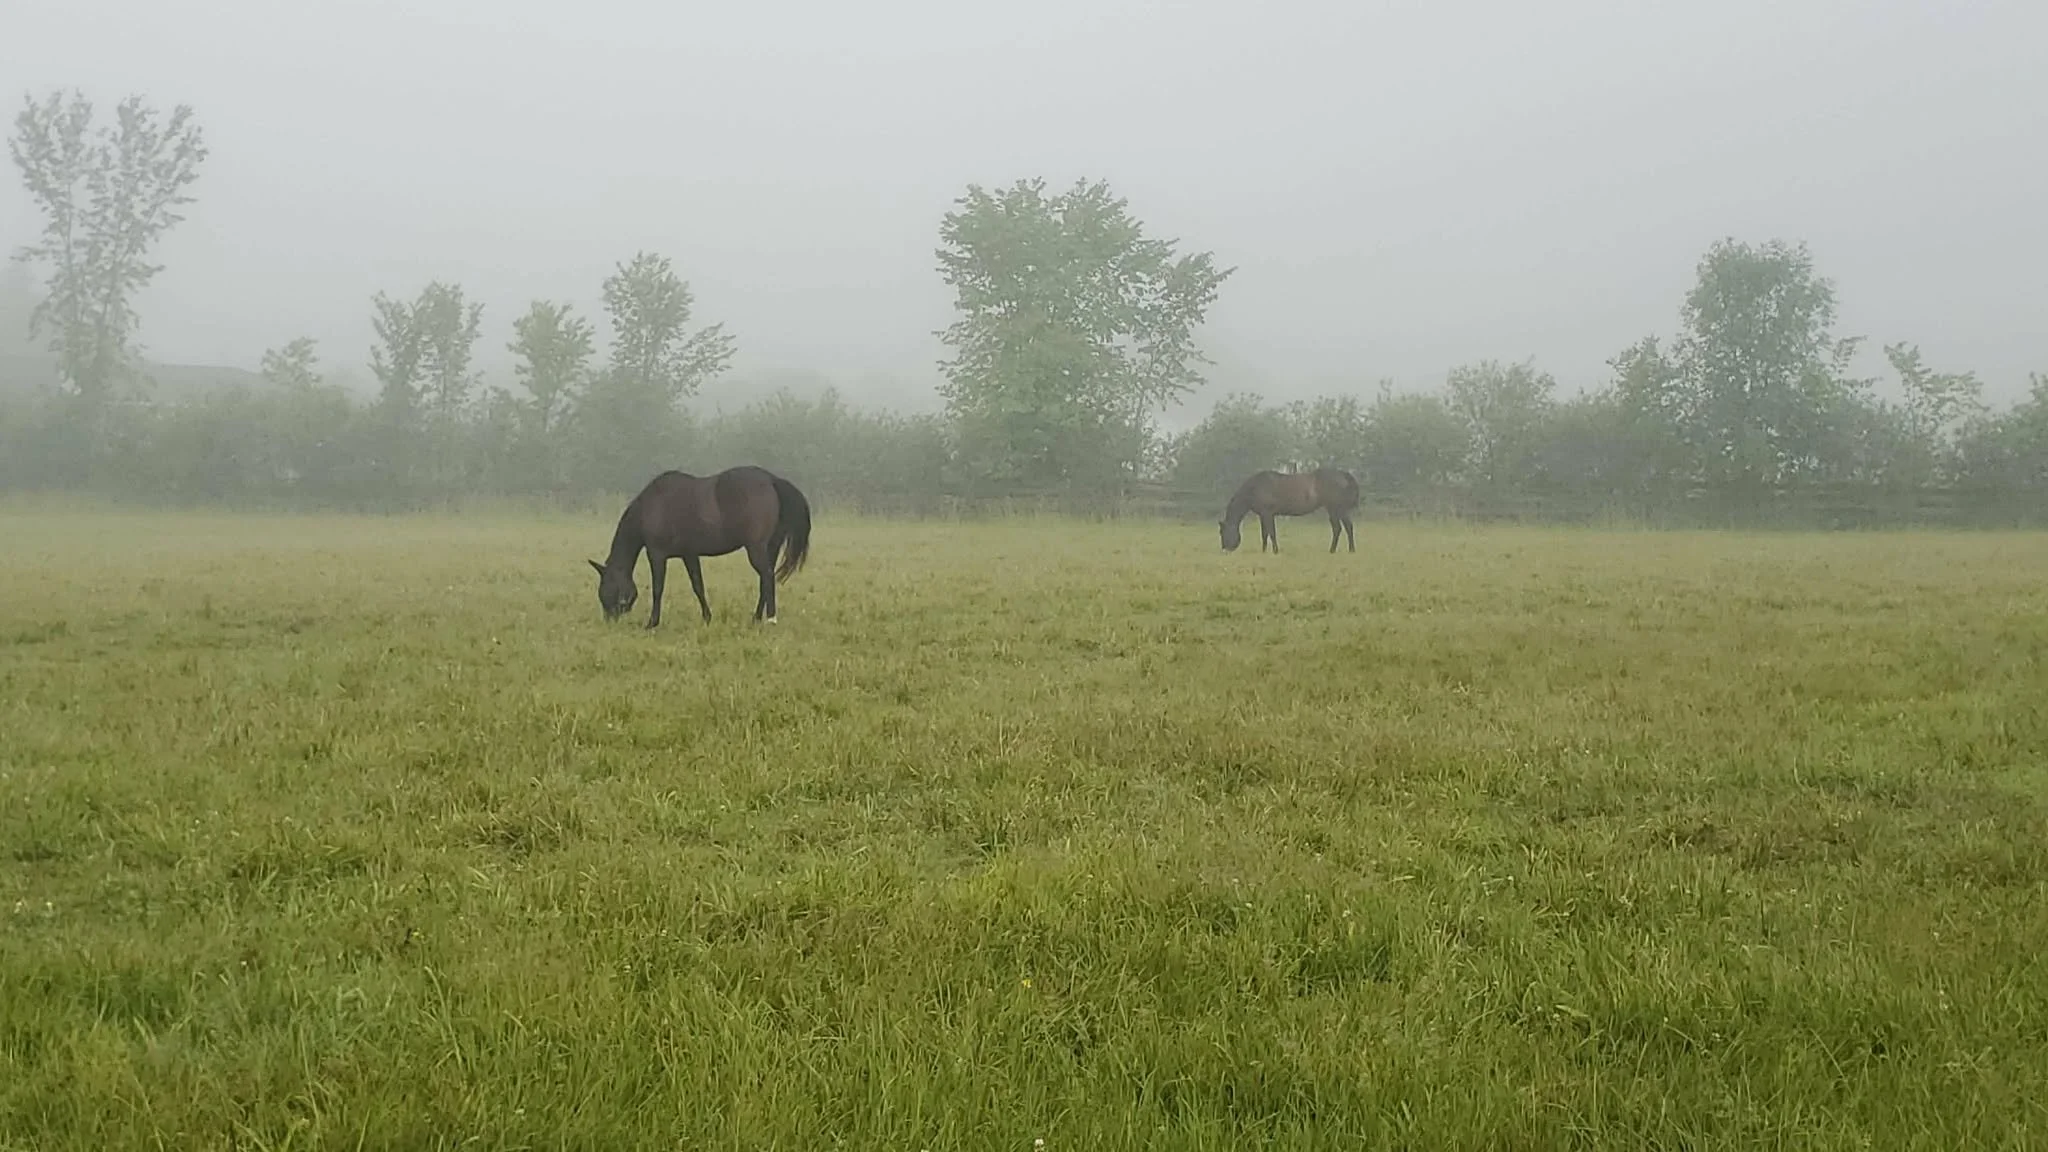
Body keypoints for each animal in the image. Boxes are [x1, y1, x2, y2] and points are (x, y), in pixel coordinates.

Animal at [589, 465, 813, 629]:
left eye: (606, 589)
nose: (609, 620)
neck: (650, 507)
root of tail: (772, 480)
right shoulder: (689, 554)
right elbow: (698, 585)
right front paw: (707, 617)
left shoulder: (657, 554)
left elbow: (658, 588)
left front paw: (652, 623)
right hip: (770, 547)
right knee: (766, 580)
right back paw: (756, 617)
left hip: (756, 548)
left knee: (766, 576)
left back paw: (770, 619)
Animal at [1219, 467, 1359, 553]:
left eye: (1222, 532)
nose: (1224, 549)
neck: (1254, 488)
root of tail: (1342, 474)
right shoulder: (1263, 515)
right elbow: (1264, 534)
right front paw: (1264, 551)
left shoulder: (1268, 513)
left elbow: (1271, 533)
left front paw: (1275, 551)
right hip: (1335, 509)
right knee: (1341, 528)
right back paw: (1339, 550)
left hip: (1337, 508)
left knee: (1343, 527)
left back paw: (1345, 550)